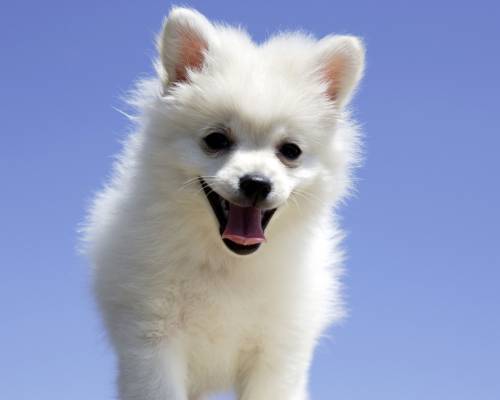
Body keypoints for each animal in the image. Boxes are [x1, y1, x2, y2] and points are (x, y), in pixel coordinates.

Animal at [83, 7, 364, 400]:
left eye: (290, 151)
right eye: (216, 140)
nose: (256, 183)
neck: (226, 264)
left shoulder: (277, 352)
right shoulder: (152, 339)